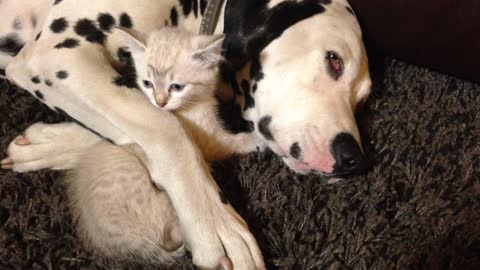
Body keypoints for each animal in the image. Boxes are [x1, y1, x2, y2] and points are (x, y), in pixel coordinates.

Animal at [118, 27, 260, 161]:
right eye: (148, 84)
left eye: (177, 87)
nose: (160, 103)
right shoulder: (209, 143)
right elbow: (232, 144)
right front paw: (256, 141)